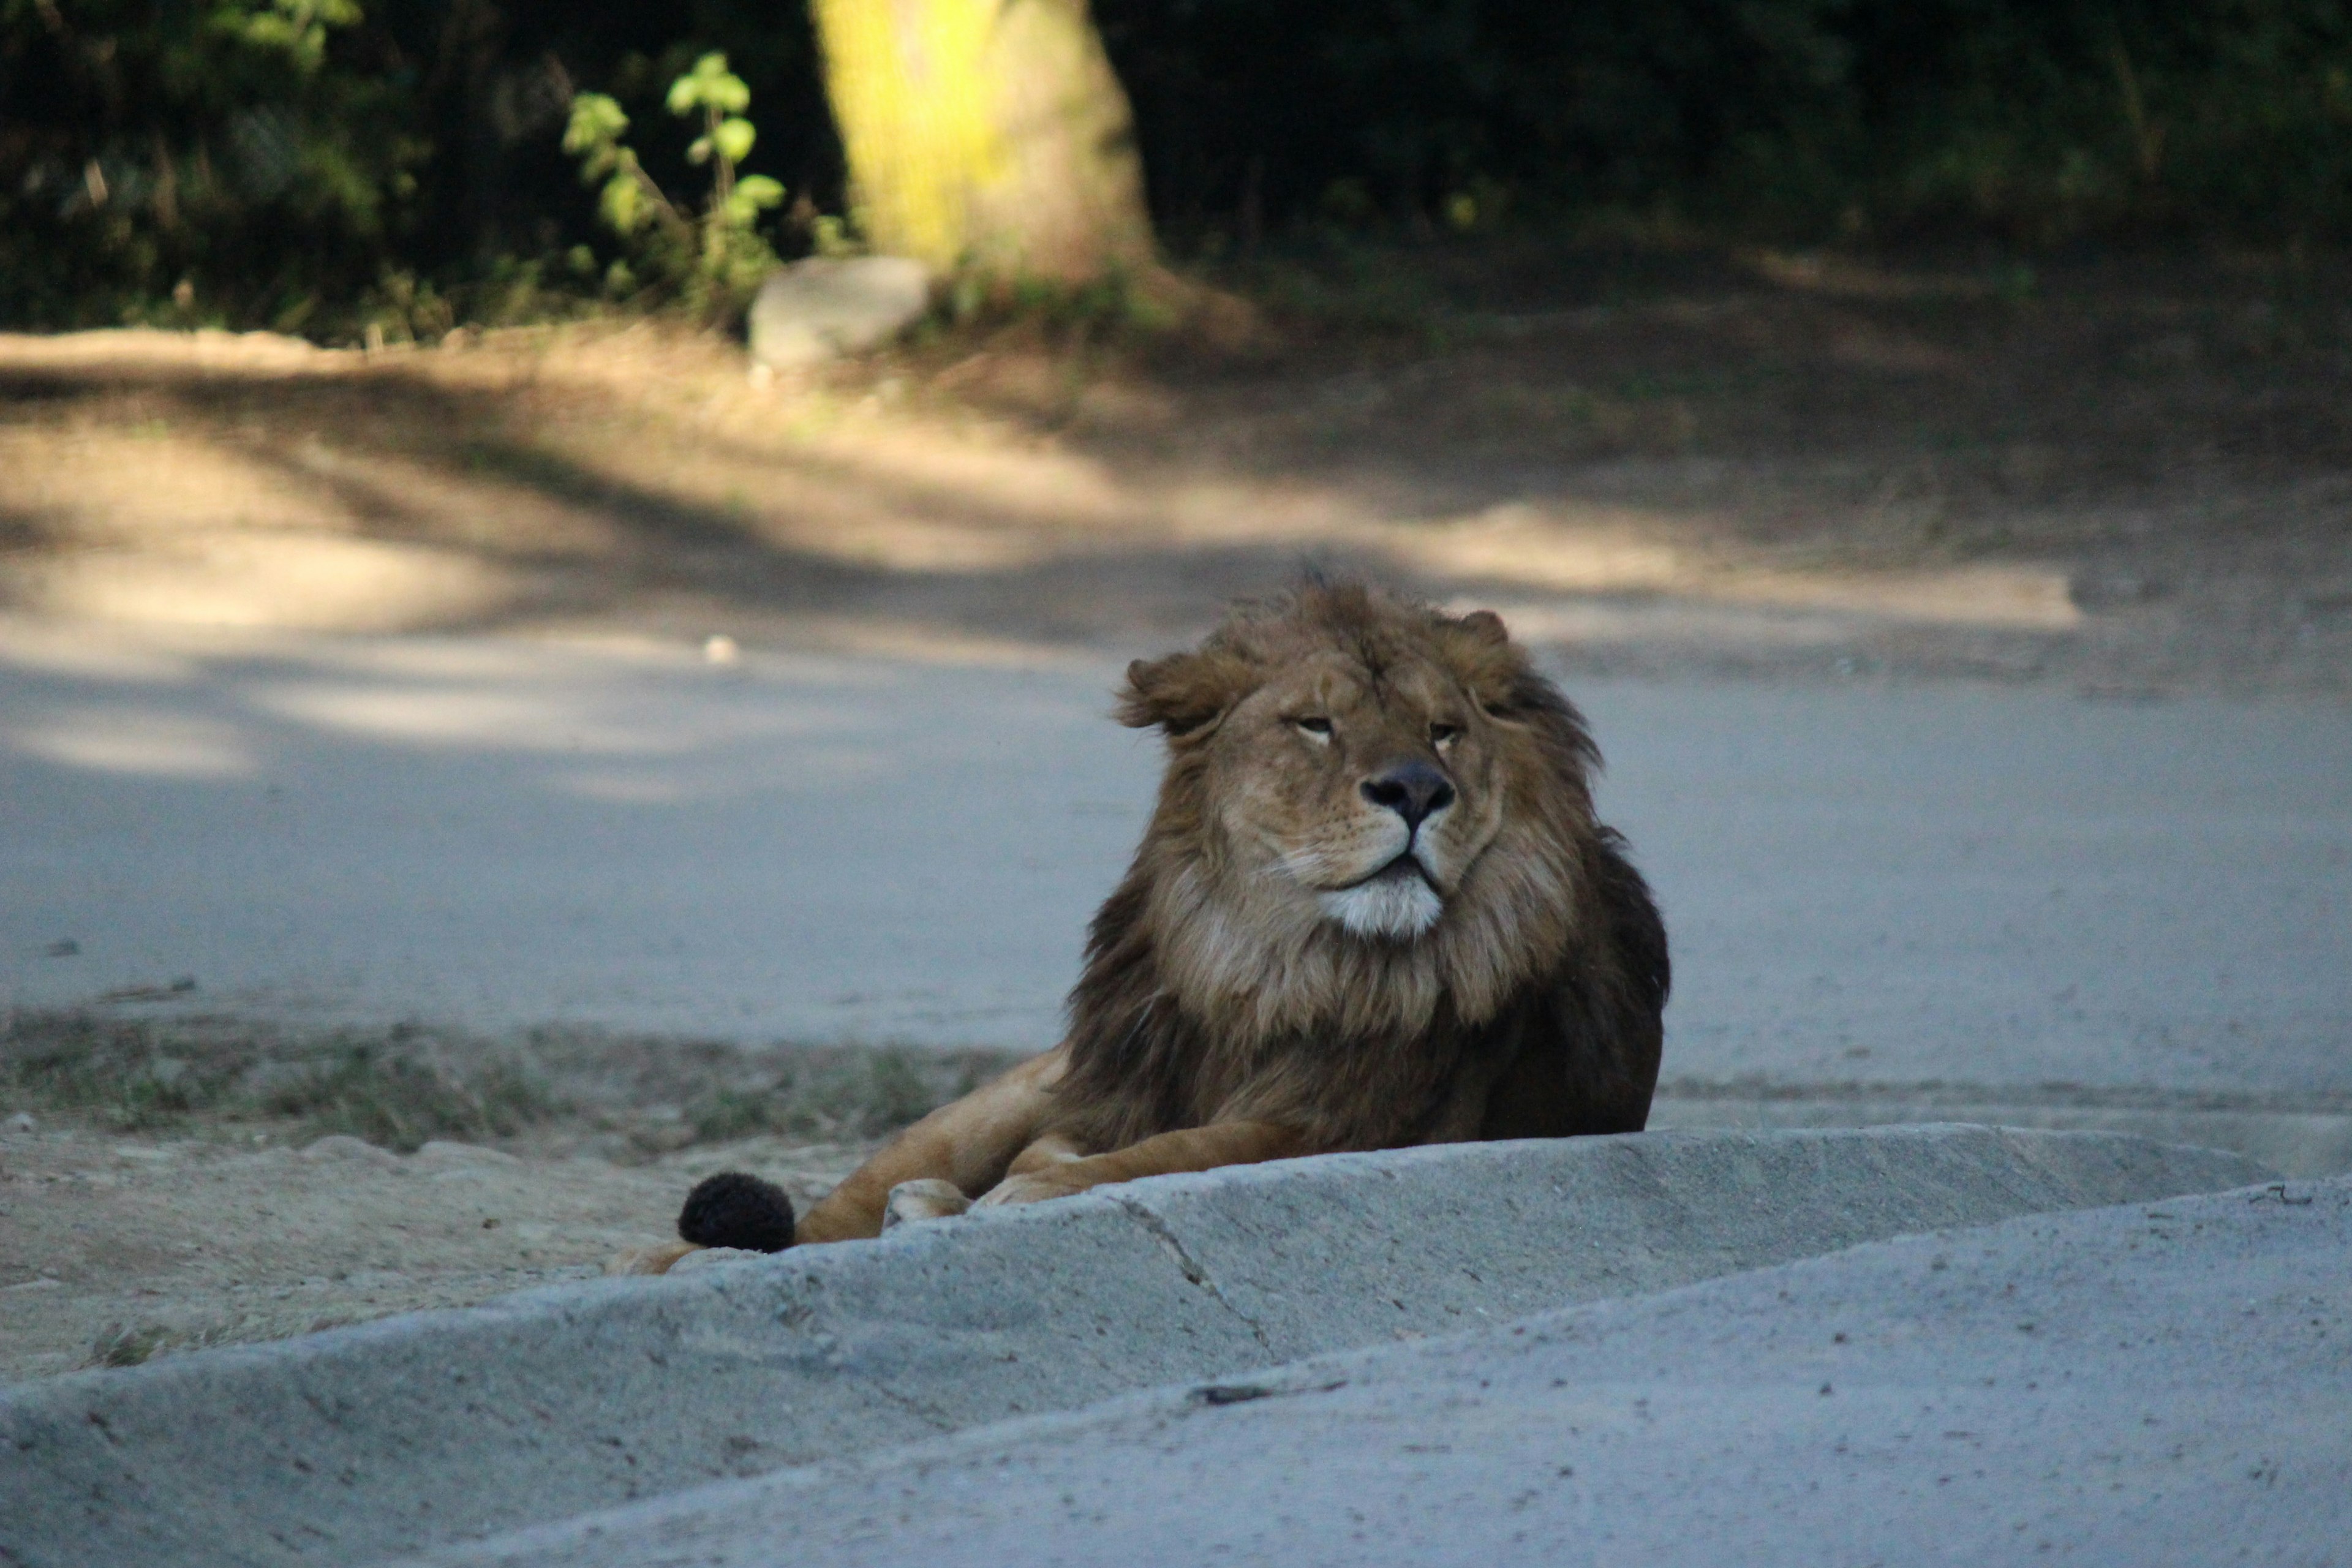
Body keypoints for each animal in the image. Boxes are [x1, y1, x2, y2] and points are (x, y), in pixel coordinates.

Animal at [625, 581, 1675, 1278]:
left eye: (1444, 731)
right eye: (1315, 725)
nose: (1418, 790)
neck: (1273, 958)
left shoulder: (1359, 1127)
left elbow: (1175, 1154)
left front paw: (1012, 1200)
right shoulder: (1108, 1092)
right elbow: (1088, 1148)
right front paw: (988, 1195)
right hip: (1011, 1089)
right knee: (825, 1213)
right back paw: (681, 1262)